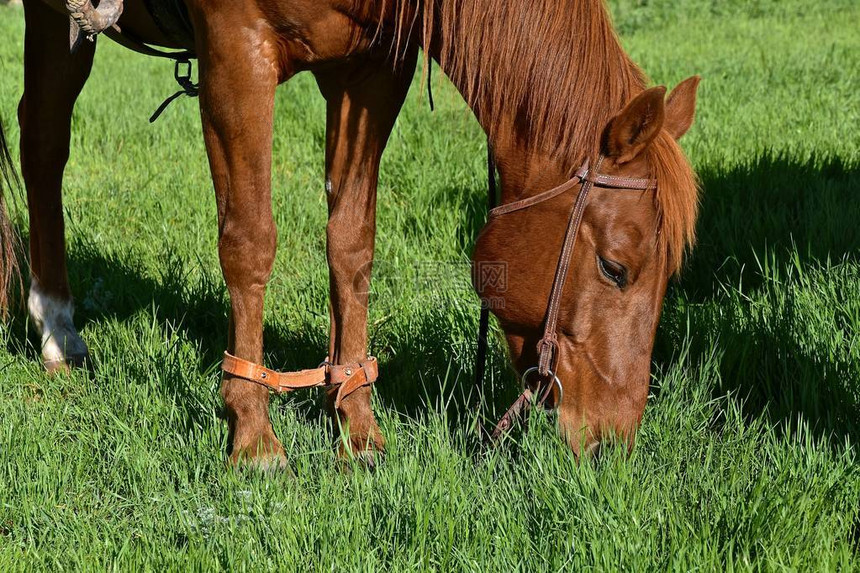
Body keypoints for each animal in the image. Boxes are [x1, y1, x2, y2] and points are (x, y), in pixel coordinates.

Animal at [0, 0, 700, 464]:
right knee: (44, 142)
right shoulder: (236, 49)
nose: (612, 442)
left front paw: (356, 421)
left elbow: (351, 242)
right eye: (615, 267)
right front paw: (252, 433)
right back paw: (57, 326)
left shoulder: (373, 70)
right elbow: (249, 241)